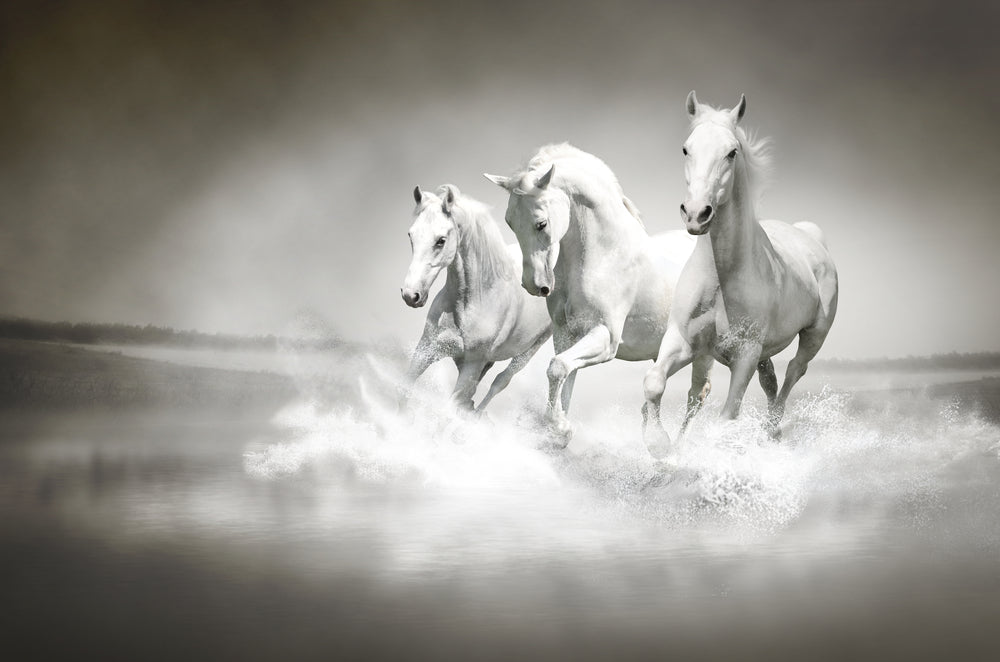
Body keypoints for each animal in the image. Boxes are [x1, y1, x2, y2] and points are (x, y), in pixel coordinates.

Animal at [400, 184, 552, 413]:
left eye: (441, 240)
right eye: (411, 235)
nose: (411, 295)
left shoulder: (472, 365)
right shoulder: (426, 350)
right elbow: (403, 392)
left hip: (530, 350)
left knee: (500, 381)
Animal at [485, 144, 710, 441]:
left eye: (541, 223)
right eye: (510, 222)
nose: (535, 285)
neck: (604, 255)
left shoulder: (606, 337)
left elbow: (557, 368)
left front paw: (560, 427)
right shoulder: (566, 335)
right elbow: (563, 375)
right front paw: (559, 429)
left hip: (703, 353)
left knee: (697, 395)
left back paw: (674, 448)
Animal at [642, 92, 839, 452]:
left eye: (731, 152)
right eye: (686, 149)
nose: (696, 214)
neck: (722, 277)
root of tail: (812, 237)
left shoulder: (745, 355)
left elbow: (727, 415)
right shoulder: (683, 340)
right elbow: (655, 382)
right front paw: (660, 444)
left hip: (813, 335)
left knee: (794, 372)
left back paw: (772, 429)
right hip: (754, 353)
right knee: (764, 380)